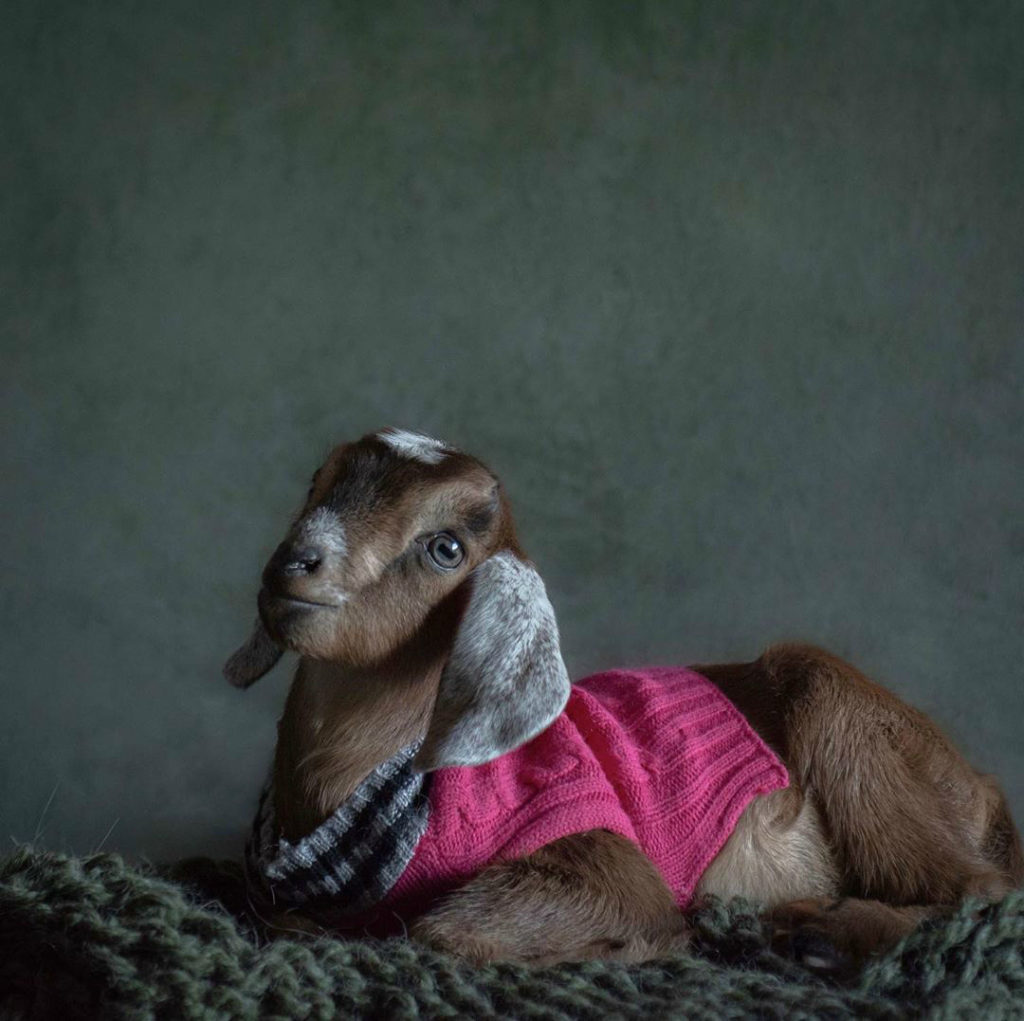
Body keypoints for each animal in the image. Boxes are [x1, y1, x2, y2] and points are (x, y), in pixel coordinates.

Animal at [224, 428, 1022, 973]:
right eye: (316, 483)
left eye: (445, 547)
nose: (293, 563)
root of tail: (984, 788)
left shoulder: (600, 849)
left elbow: (434, 929)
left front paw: (644, 943)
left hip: (845, 722)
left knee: (980, 888)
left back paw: (820, 933)